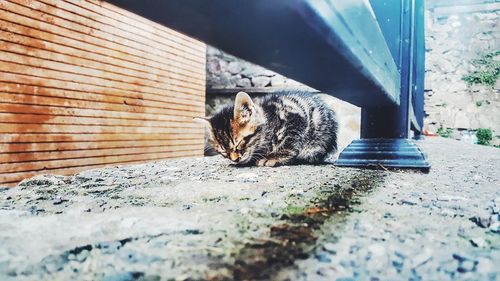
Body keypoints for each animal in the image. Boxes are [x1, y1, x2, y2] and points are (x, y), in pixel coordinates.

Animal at [197, 90, 338, 166]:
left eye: (239, 143)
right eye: (223, 151)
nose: (235, 160)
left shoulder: (295, 119)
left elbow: (288, 142)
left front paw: (273, 157)